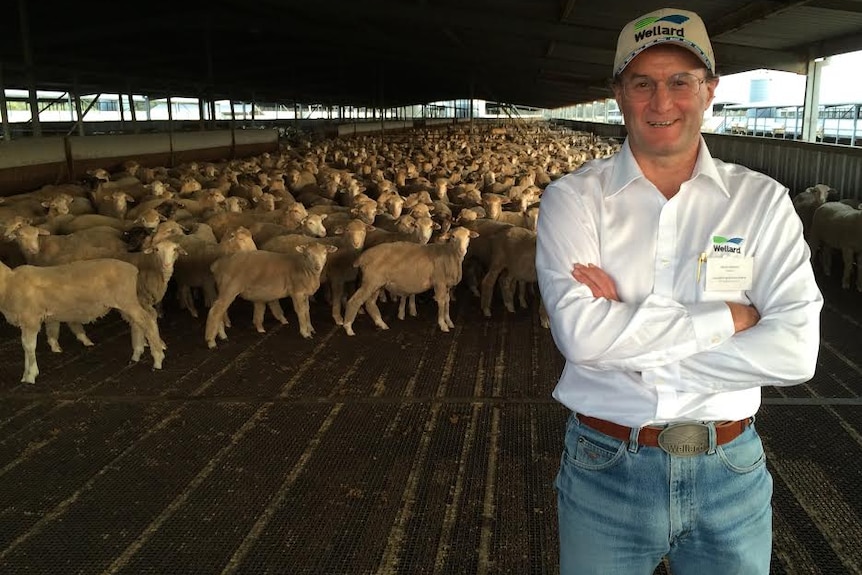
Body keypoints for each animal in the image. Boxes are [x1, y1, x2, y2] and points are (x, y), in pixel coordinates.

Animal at [0, 258, 166, 384]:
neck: (9, 283)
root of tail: (133, 269)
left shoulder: (31, 319)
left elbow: (28, 346)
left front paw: (30, 376)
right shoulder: (26, 321)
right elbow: (25, 346)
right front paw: (26, 375)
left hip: (126, 300)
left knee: (147, 320)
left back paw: (157, 359)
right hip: (127, 303)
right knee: (139, 322)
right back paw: (137, 354)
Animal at [203, 240, 338, 344]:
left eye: (325, 253)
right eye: (308, 254)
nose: (317, 267)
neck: (303, 268)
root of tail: (217, 264)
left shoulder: (304, 294)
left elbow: (307, 311)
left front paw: (311, 329)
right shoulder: (297, 292)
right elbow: (300, 311)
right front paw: (305, 333)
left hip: (224, 289)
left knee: (221, 311)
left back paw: (221, 335)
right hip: (229, 288)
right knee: (215, 311)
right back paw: (211, 341)